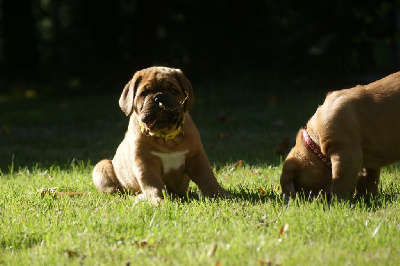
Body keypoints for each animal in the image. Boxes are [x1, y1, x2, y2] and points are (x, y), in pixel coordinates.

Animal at [92, 67, 227, 204]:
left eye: (173, 90)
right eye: (144, 93)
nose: (159, 97)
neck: (166, 137)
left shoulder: (196, 156)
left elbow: (207, 178)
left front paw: (220, 194)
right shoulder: (145, 162)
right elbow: (153, 184)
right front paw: (159, 201)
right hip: (101, 168)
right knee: (121, 194)